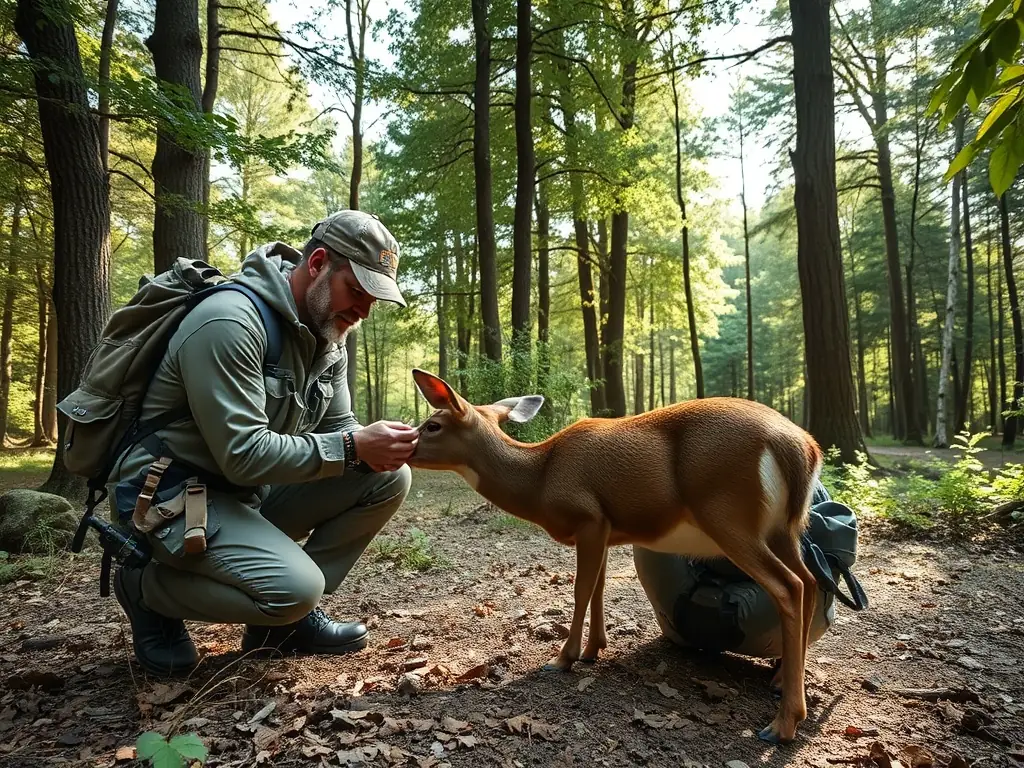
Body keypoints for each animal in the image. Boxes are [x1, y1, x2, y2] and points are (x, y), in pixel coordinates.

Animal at [407, 369, 824, 744]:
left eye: (432, 425)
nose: (405, 448)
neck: (541, 480)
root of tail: (801, 447)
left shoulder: (588, 516)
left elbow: (580, 589)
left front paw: (564, 658)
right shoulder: (607, 529)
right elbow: (599, 587)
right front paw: (594, 649)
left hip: (729, 516)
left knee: (788, 586)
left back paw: (782, 725)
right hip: (784, 529)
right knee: (810, 580)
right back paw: (781, 680)